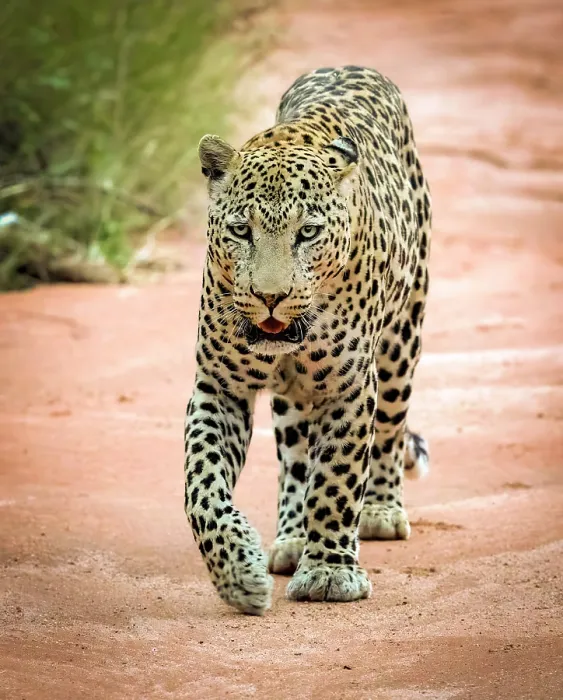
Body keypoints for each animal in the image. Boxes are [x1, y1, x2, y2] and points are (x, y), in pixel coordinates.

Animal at [183, 66, 431, 615]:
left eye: (309, 232)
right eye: (241, 230)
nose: (270, 297)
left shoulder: (349, 387)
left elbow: (337, 479)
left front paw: (330, 572)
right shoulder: (219, 385)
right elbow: (201, 485)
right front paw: (237, 574)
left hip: (401, 342)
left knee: (389, 432)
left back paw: (380, 511)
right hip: (292, 401)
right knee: (296, 461)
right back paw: (292, 538)